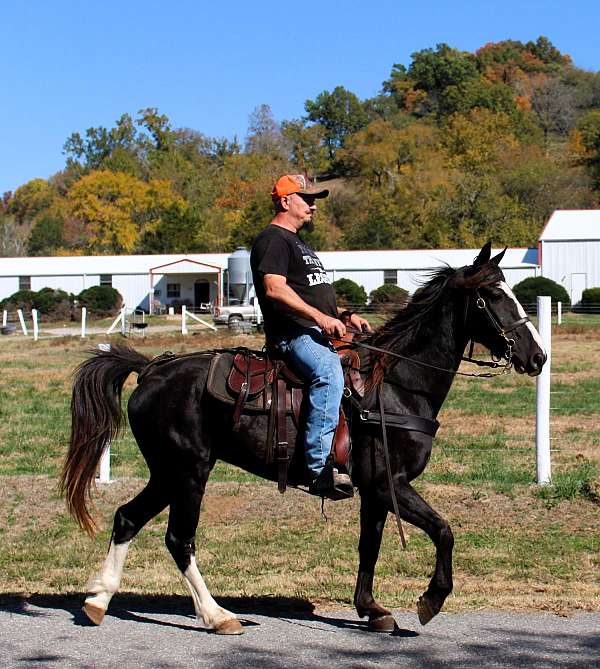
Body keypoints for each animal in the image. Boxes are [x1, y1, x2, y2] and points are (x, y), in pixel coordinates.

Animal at [62, 243, 548, 636]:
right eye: (492, 297)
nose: (537, 356)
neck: (396, 385)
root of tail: (150, 370)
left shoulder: (376, 490)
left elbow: (370, 546)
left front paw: (371, 609)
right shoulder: (391, 483)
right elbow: (443, 530)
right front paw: (431, 599)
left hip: (168, 472)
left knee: (127, 518)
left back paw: (98, 600)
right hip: (189, 471)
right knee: (179, 539)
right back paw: (218, 616)